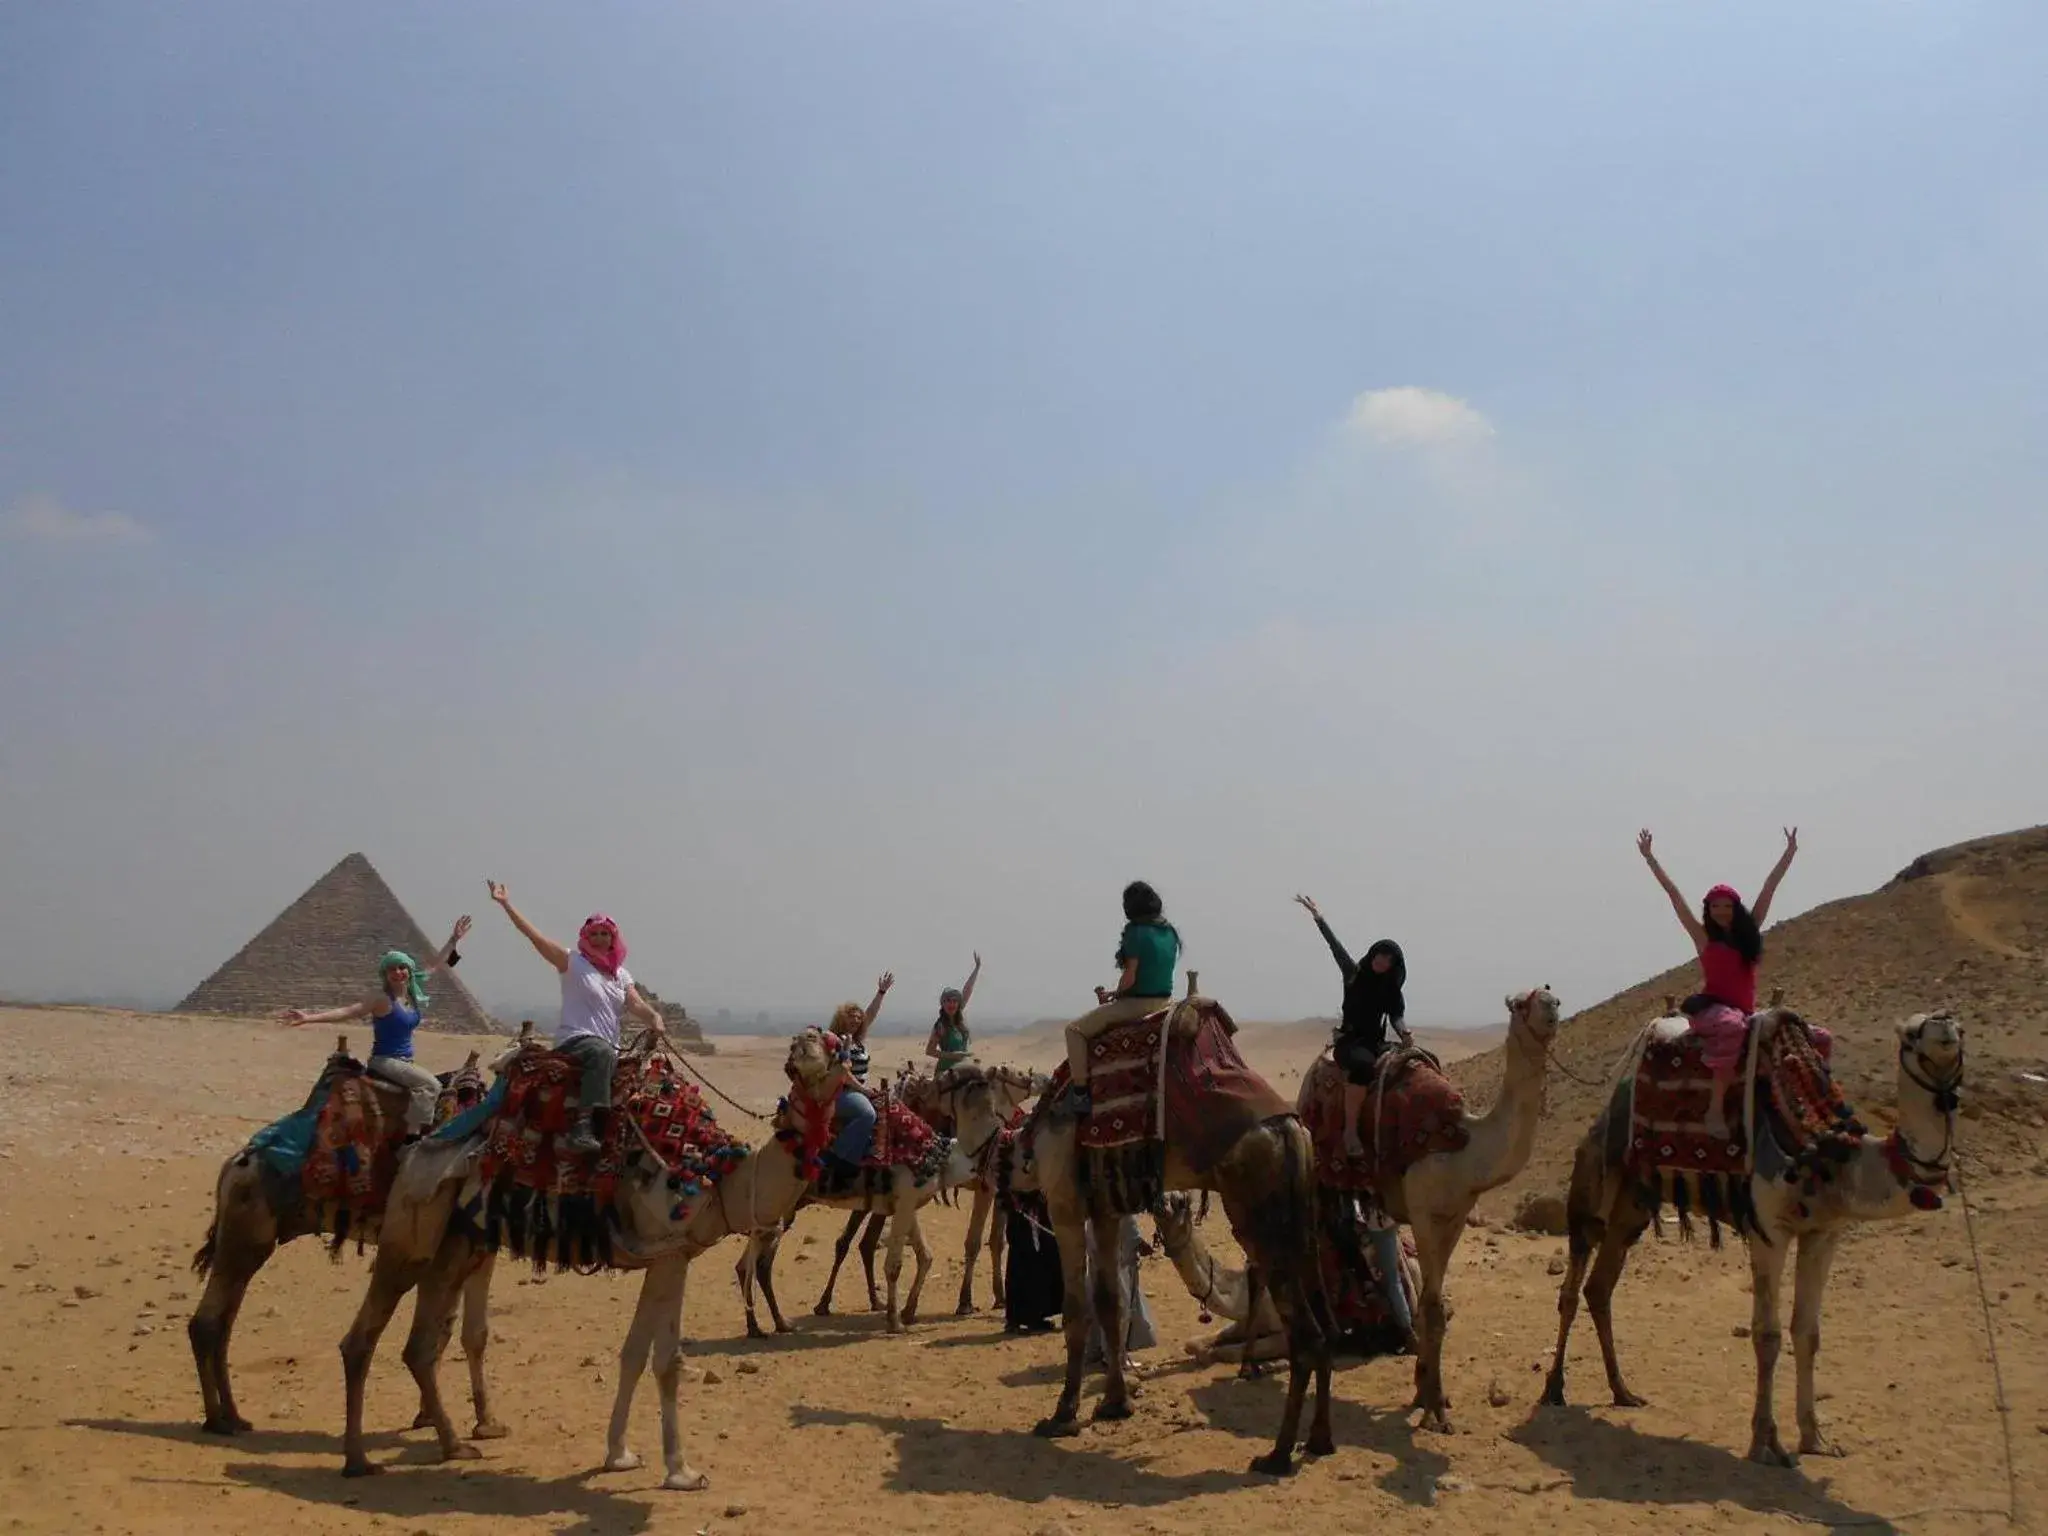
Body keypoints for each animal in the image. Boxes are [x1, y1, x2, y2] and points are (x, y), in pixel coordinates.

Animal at [187, 1040, 499, 1449]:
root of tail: (234, 1164)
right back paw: (217, 1420)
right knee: (208, 1322)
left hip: (246, 1240)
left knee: (223, 1322)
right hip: (244, 1236)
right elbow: (449, 1333)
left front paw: (481, 1422)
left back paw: (234, 1417)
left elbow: (471, 1335)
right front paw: (438, 1419)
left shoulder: (478, 1249)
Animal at [339, 1028, 835, 1482]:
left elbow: (634, 1355)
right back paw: (358, 1459)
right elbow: (667, 1363)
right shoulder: (672, 1253)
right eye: (822, 1042)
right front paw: (681, 1471)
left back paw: (455, 1444)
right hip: (412, 1226)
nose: (803, 1043)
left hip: (459, 1241)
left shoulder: (667, 1257)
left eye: (837, 1044)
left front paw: (620, 1454)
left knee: (421, 1346)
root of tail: (417, 1148)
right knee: (363, 1338)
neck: (716, 1177)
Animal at [737, 1073, 1040, 1335]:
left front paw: (908, 1311)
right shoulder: (912, 1199)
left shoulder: (907, 1203)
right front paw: (897, 1321)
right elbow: (897, 1264)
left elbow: (925, 1254)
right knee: (760, 1264)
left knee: (751, 1265)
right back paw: (768, 1324)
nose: (1034, 1081)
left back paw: (771, 1324)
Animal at [1032, 991, 1335, 1482]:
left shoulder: (1064, 1203)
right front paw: (1115, 1404)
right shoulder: (1106, 1208)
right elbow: (1110, 1303)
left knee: (1305, 1338)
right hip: (1303, 1217)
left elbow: (1076, 1310)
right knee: (1325, 1327)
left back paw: (1276, 1456)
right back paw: (1320, 1441)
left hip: (1260, 1216)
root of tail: (1290, 1129)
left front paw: (1062, 1414)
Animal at [1540, 1011, 1957, 1466]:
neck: (1824, 1154)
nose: (1946, 1025)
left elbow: (1807, 1332)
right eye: (1914, 1034)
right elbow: (1767, 1335)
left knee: (1599, 1288)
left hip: (1632, 1207)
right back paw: (1554, 1390)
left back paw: (1623, 1392)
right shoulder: (1768, 1229)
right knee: (1571, 1287)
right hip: (1594, 1181)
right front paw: (1765, 1443)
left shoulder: (1823, 1233)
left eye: (1953, 1026)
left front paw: (1816, 1439)